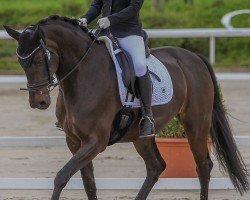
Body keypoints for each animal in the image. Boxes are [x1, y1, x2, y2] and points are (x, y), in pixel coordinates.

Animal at [3, 16, 248, 200]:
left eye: (38, 60)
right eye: (21, 62)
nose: (39, 102)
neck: (82, 75)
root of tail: (194, 57)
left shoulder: (96, 141)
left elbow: (61, 176)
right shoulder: (75, 141)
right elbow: (88, 183)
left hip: (196, 122)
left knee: (203, 166)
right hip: (142, 136)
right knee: (156, 167)